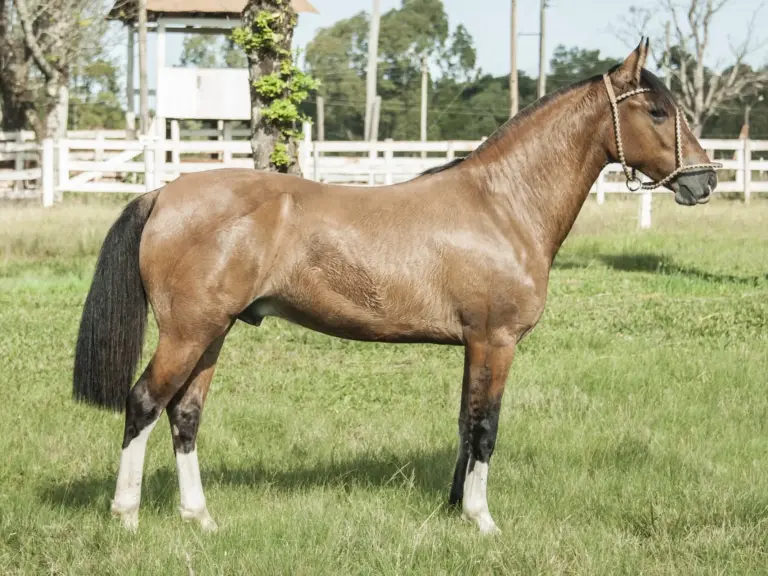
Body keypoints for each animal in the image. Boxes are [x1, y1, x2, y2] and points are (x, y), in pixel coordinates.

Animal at [73, 39, 719, 535]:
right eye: (656, 111)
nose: (705, 181)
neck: (503, 205)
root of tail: (164, 192)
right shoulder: (496, 341)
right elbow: (485, 428)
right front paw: (483, 521)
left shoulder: (474, 345)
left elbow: (465, 423)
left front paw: (455, 508)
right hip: (187, 333)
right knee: (143, 402)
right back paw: (127, 516)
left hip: (212, 333)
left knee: (184, 415)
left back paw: (200, 519)